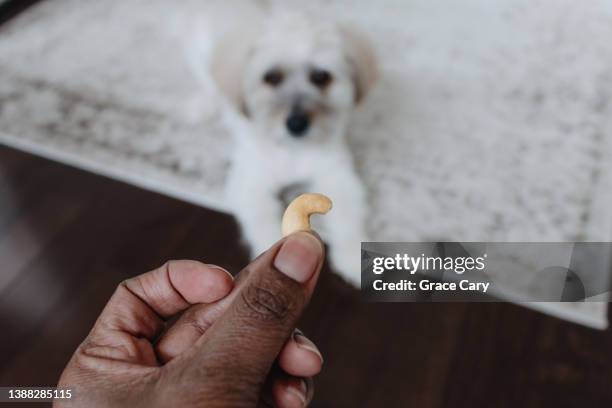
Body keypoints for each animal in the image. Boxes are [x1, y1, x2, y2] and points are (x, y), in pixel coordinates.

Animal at [203, 8, 376, 284]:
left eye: (321, 76)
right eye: (271, 77)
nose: (297, 124)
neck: (292, 149)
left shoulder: (337, 177)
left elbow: (348, 217)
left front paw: (352, 256)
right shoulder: (250, 185)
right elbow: (263, 221)